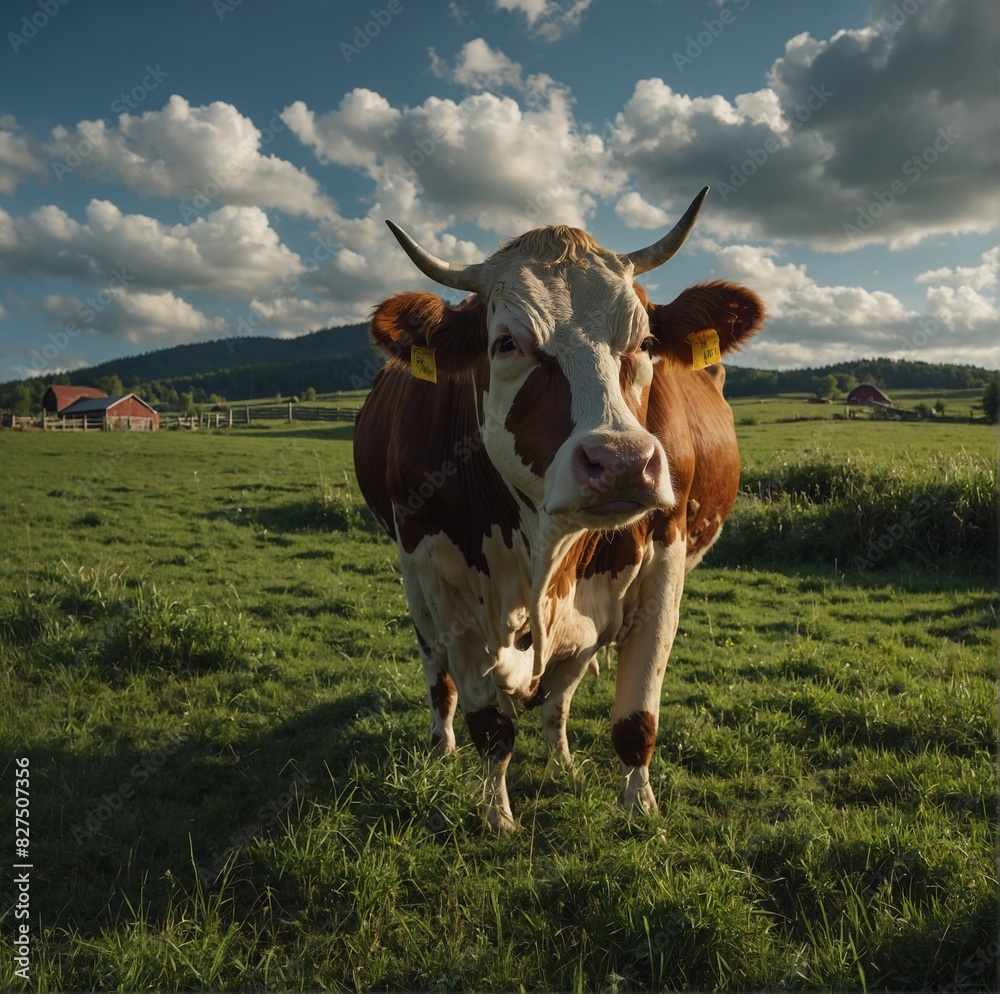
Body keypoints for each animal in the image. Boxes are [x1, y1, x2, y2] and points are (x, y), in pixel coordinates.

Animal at [354, 188, 764, 828]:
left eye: (645, 343)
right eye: (506, 344)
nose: (621, 461)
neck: (546, 551)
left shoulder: (662, 565)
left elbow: (634, 717)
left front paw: (639, 808)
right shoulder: (441, 579)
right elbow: (489, 725)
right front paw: (497, 815)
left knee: (560, 691)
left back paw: (562, 758)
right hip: (412, 579)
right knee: (435, 669)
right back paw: (442, 746)